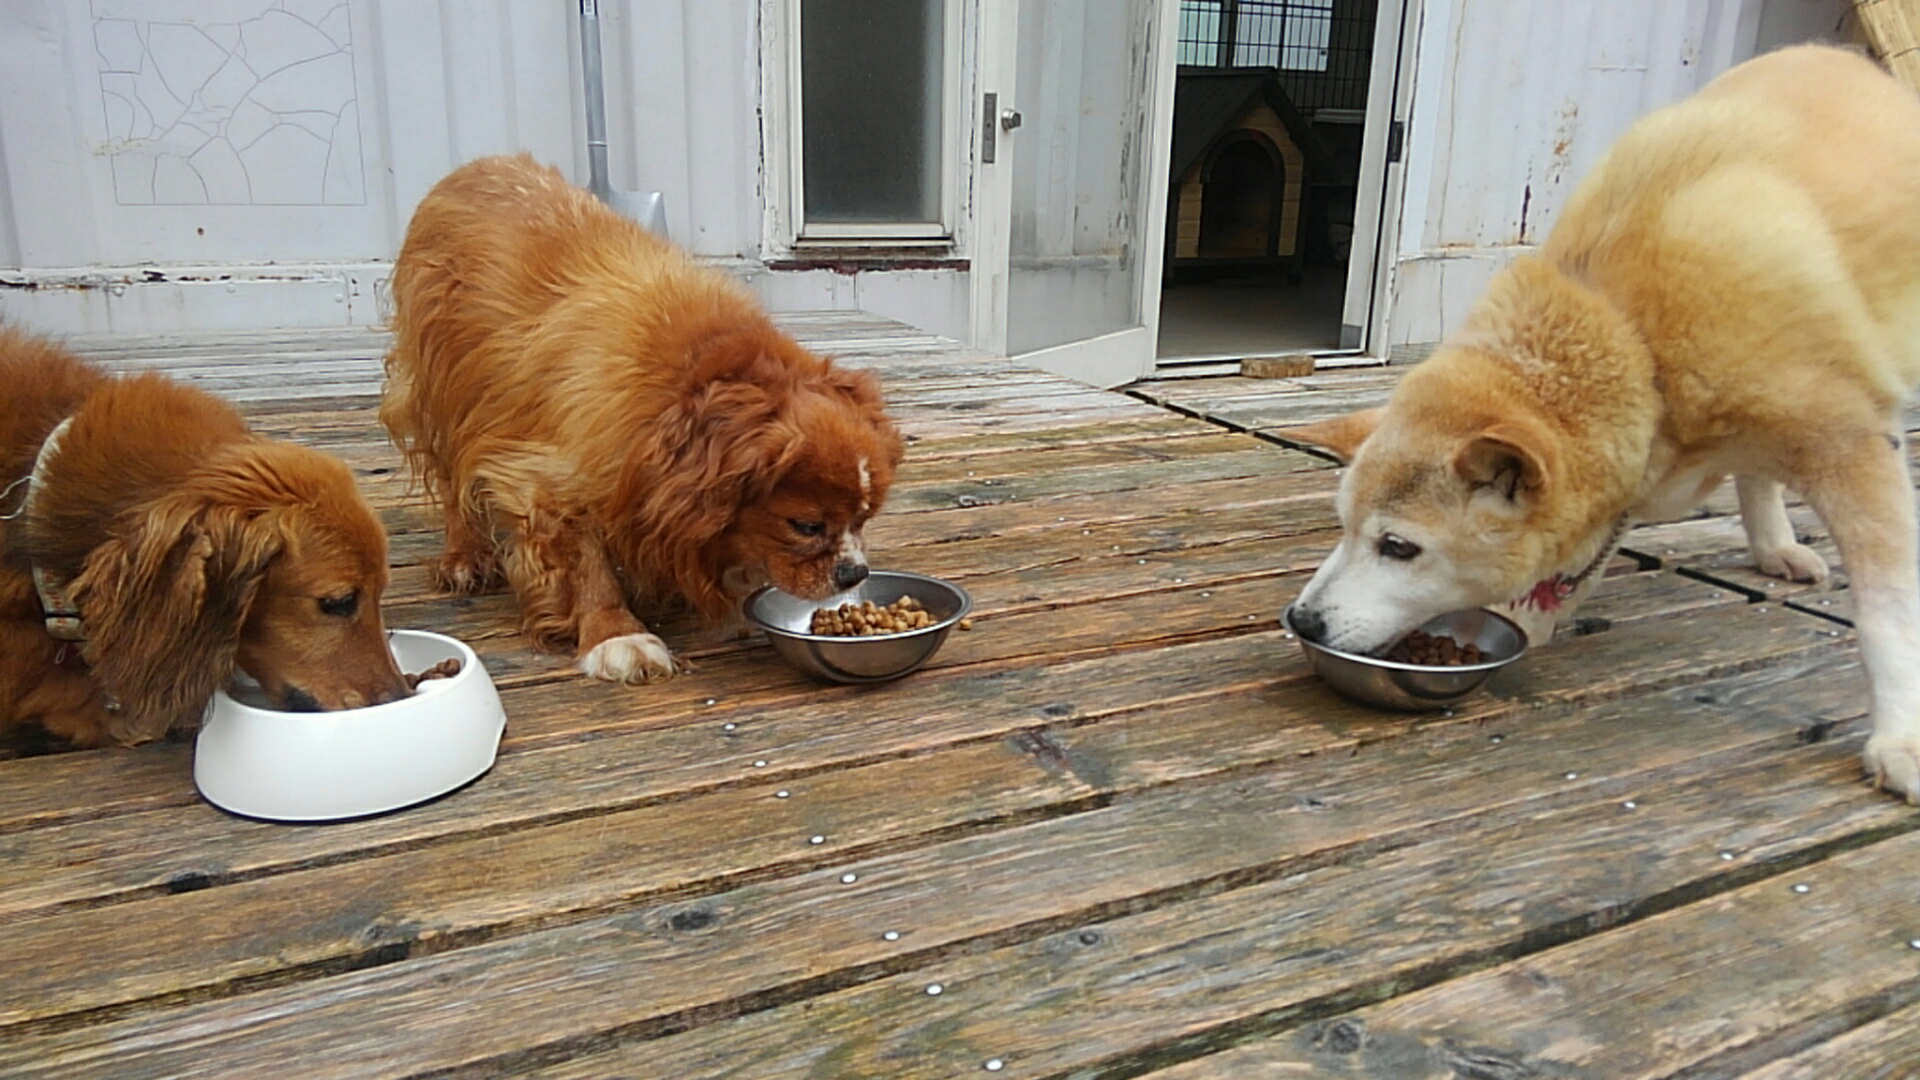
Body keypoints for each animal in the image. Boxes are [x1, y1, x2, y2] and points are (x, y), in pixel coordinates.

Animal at [380, 154, 903, 682]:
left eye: (864, 518)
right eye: (805, 526)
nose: (854, 573)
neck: (694, 374)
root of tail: (477, 164)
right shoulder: (547, 478)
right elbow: (584, 563)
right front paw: (616, 635)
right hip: (441, 390)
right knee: (451, 482)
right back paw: (465, 557)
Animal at [1280, 46, 1920, 802]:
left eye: (1398, 548)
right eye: (1343, 527)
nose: (1303, 619)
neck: (1635, 336)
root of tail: (1844, 57)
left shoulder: (1854, 444)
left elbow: (1887, 612)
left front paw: (1901, 739)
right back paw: (1773, 545)